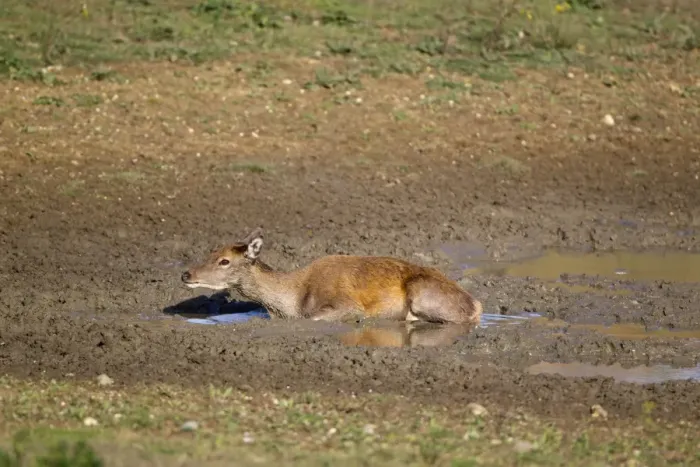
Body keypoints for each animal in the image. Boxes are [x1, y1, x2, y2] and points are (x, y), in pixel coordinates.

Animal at [181, 228, 482, 324]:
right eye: (210, 251)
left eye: (224, 261)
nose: (186, 273)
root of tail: (476, 305)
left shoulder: (346, 305)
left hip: (422, 294)